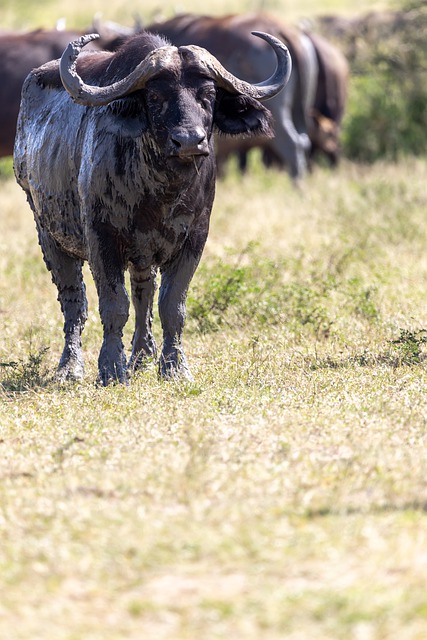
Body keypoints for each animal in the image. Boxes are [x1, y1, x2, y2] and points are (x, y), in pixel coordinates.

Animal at [15, 31, 292, 384]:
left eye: (208, 95)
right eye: (156, 97)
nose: (189, 141)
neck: (160, 193)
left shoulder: (194, 239)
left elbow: (171, 305)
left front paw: (174, 367)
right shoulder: (102, 240)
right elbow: (114, 305)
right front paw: (111, 369)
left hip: (142, 255)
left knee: (143, 293)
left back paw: (142, 357)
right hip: (47, 231)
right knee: (74, 300)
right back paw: (70, 368)